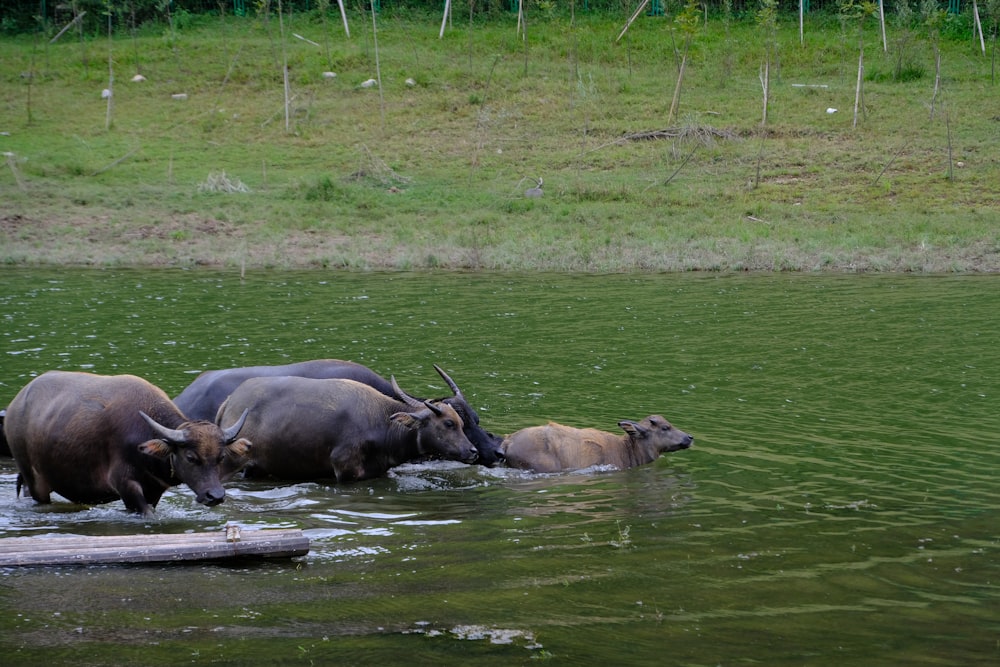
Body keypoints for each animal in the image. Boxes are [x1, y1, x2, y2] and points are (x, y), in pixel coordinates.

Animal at [5, 370, 254, 516]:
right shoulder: (125, 485)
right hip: (33, 477)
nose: (216, 496)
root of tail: (16, 404)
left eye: (221, 457)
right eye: (191, 457)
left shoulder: (154, 490)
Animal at [214, 376, 476, 480]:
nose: (472, 451)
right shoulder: (345, 470)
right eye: (449, 423)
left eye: (463, 423)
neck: (381, 421)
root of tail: (229, 401)